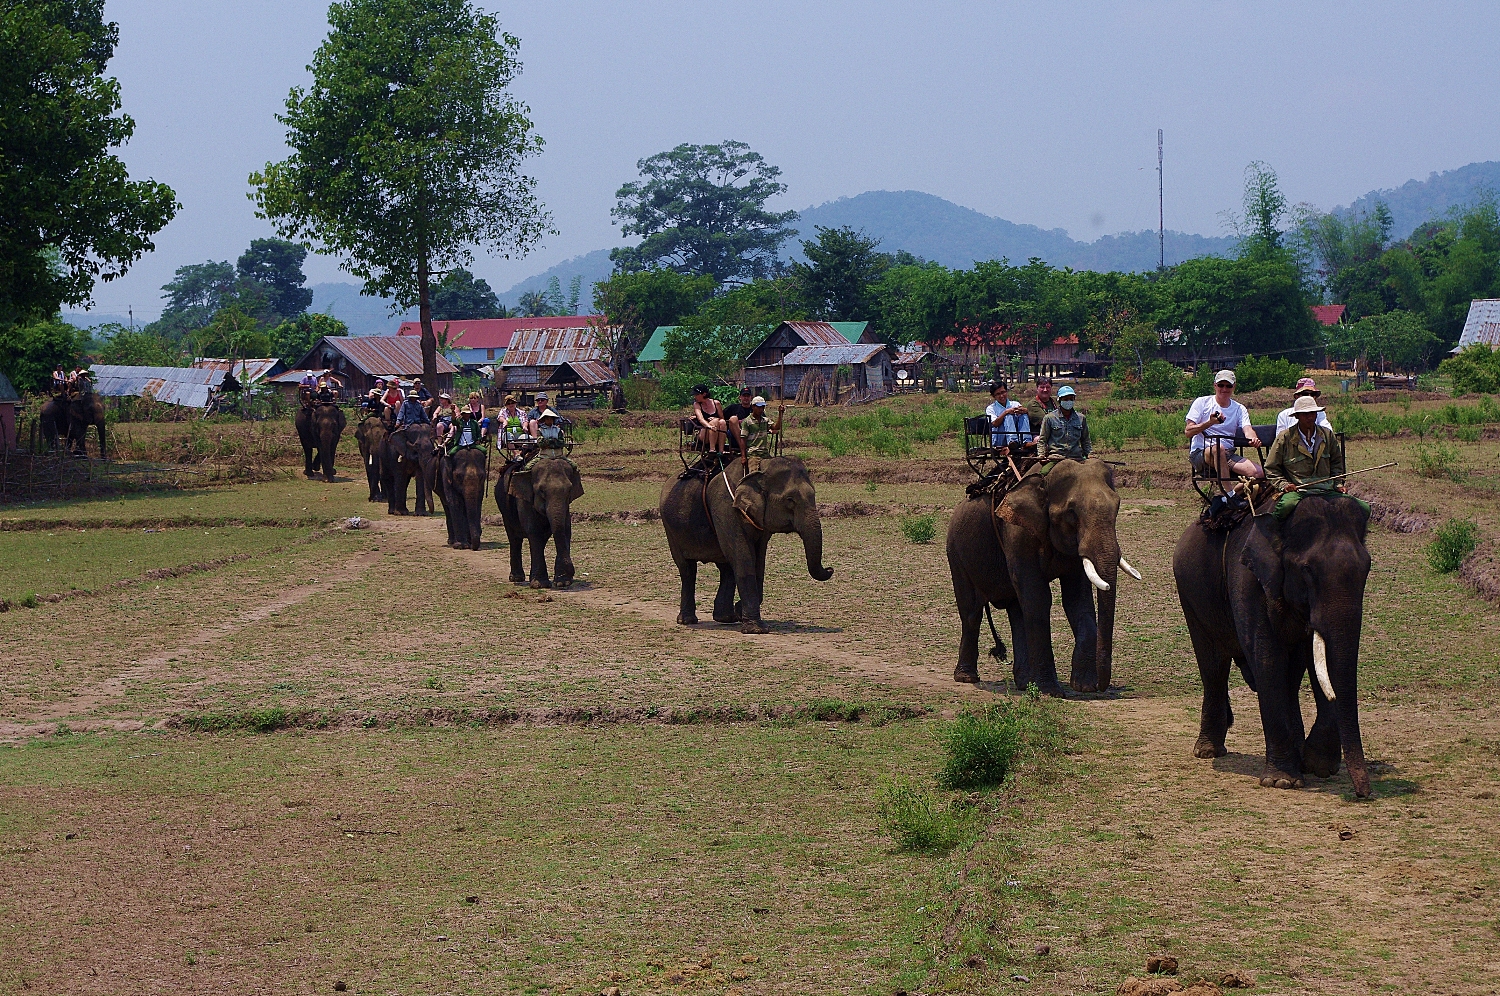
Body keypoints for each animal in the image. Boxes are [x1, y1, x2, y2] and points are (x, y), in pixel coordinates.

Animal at [498, 456, 579, 588]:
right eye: (541, 491)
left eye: (569, 490)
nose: (571, 571)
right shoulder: (523, 499)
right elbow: (534, 531)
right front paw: (540, 584)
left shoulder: (567, 505)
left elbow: (566, 529)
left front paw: (562, 582)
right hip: (505, 512)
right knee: (514, 539)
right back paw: (516, 578)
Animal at [663, 456, 840, 633]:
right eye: (790, 500)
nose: (830, 569)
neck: (758, 469)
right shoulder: (726, 507)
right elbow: (743, 557)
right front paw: (756, 629)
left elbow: (758, 561)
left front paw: (740, 611)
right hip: (670, 529)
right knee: (688, 569)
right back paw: (687, 620)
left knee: (726, 568)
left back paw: (726, 618)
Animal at [942, 456, 1140, 693]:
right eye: (1071, 513)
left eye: (1117, 507)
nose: (1102, 687)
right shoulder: (1018, 532)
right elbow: (1038, 597)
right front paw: (1050, 691)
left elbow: (1077, 601)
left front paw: (1084, 687)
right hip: (956, 552)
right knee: (972, 611)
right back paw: (967, 677)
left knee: (1017, 611)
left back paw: (1024, 682)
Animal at [1170, 495, 1374, 798]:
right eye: (1307, 569)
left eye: (1367, 568)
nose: (1363, 794)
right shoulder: (1249, 581)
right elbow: (1268, 659)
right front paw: (1282, 782)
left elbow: (1315, 661)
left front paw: (1318, 766)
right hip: (1191, 595)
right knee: (1213, 666)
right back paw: (1208, 751)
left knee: (1290, 677)